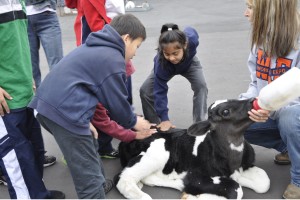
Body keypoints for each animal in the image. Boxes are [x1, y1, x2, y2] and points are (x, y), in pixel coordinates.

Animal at [115, 99, 270, 199]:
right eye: (225, 111)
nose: (252, 101)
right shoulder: (196, 177)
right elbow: (235, 190)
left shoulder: (244, 166)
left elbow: (264, 181)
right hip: (156, 153)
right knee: (123, 179)